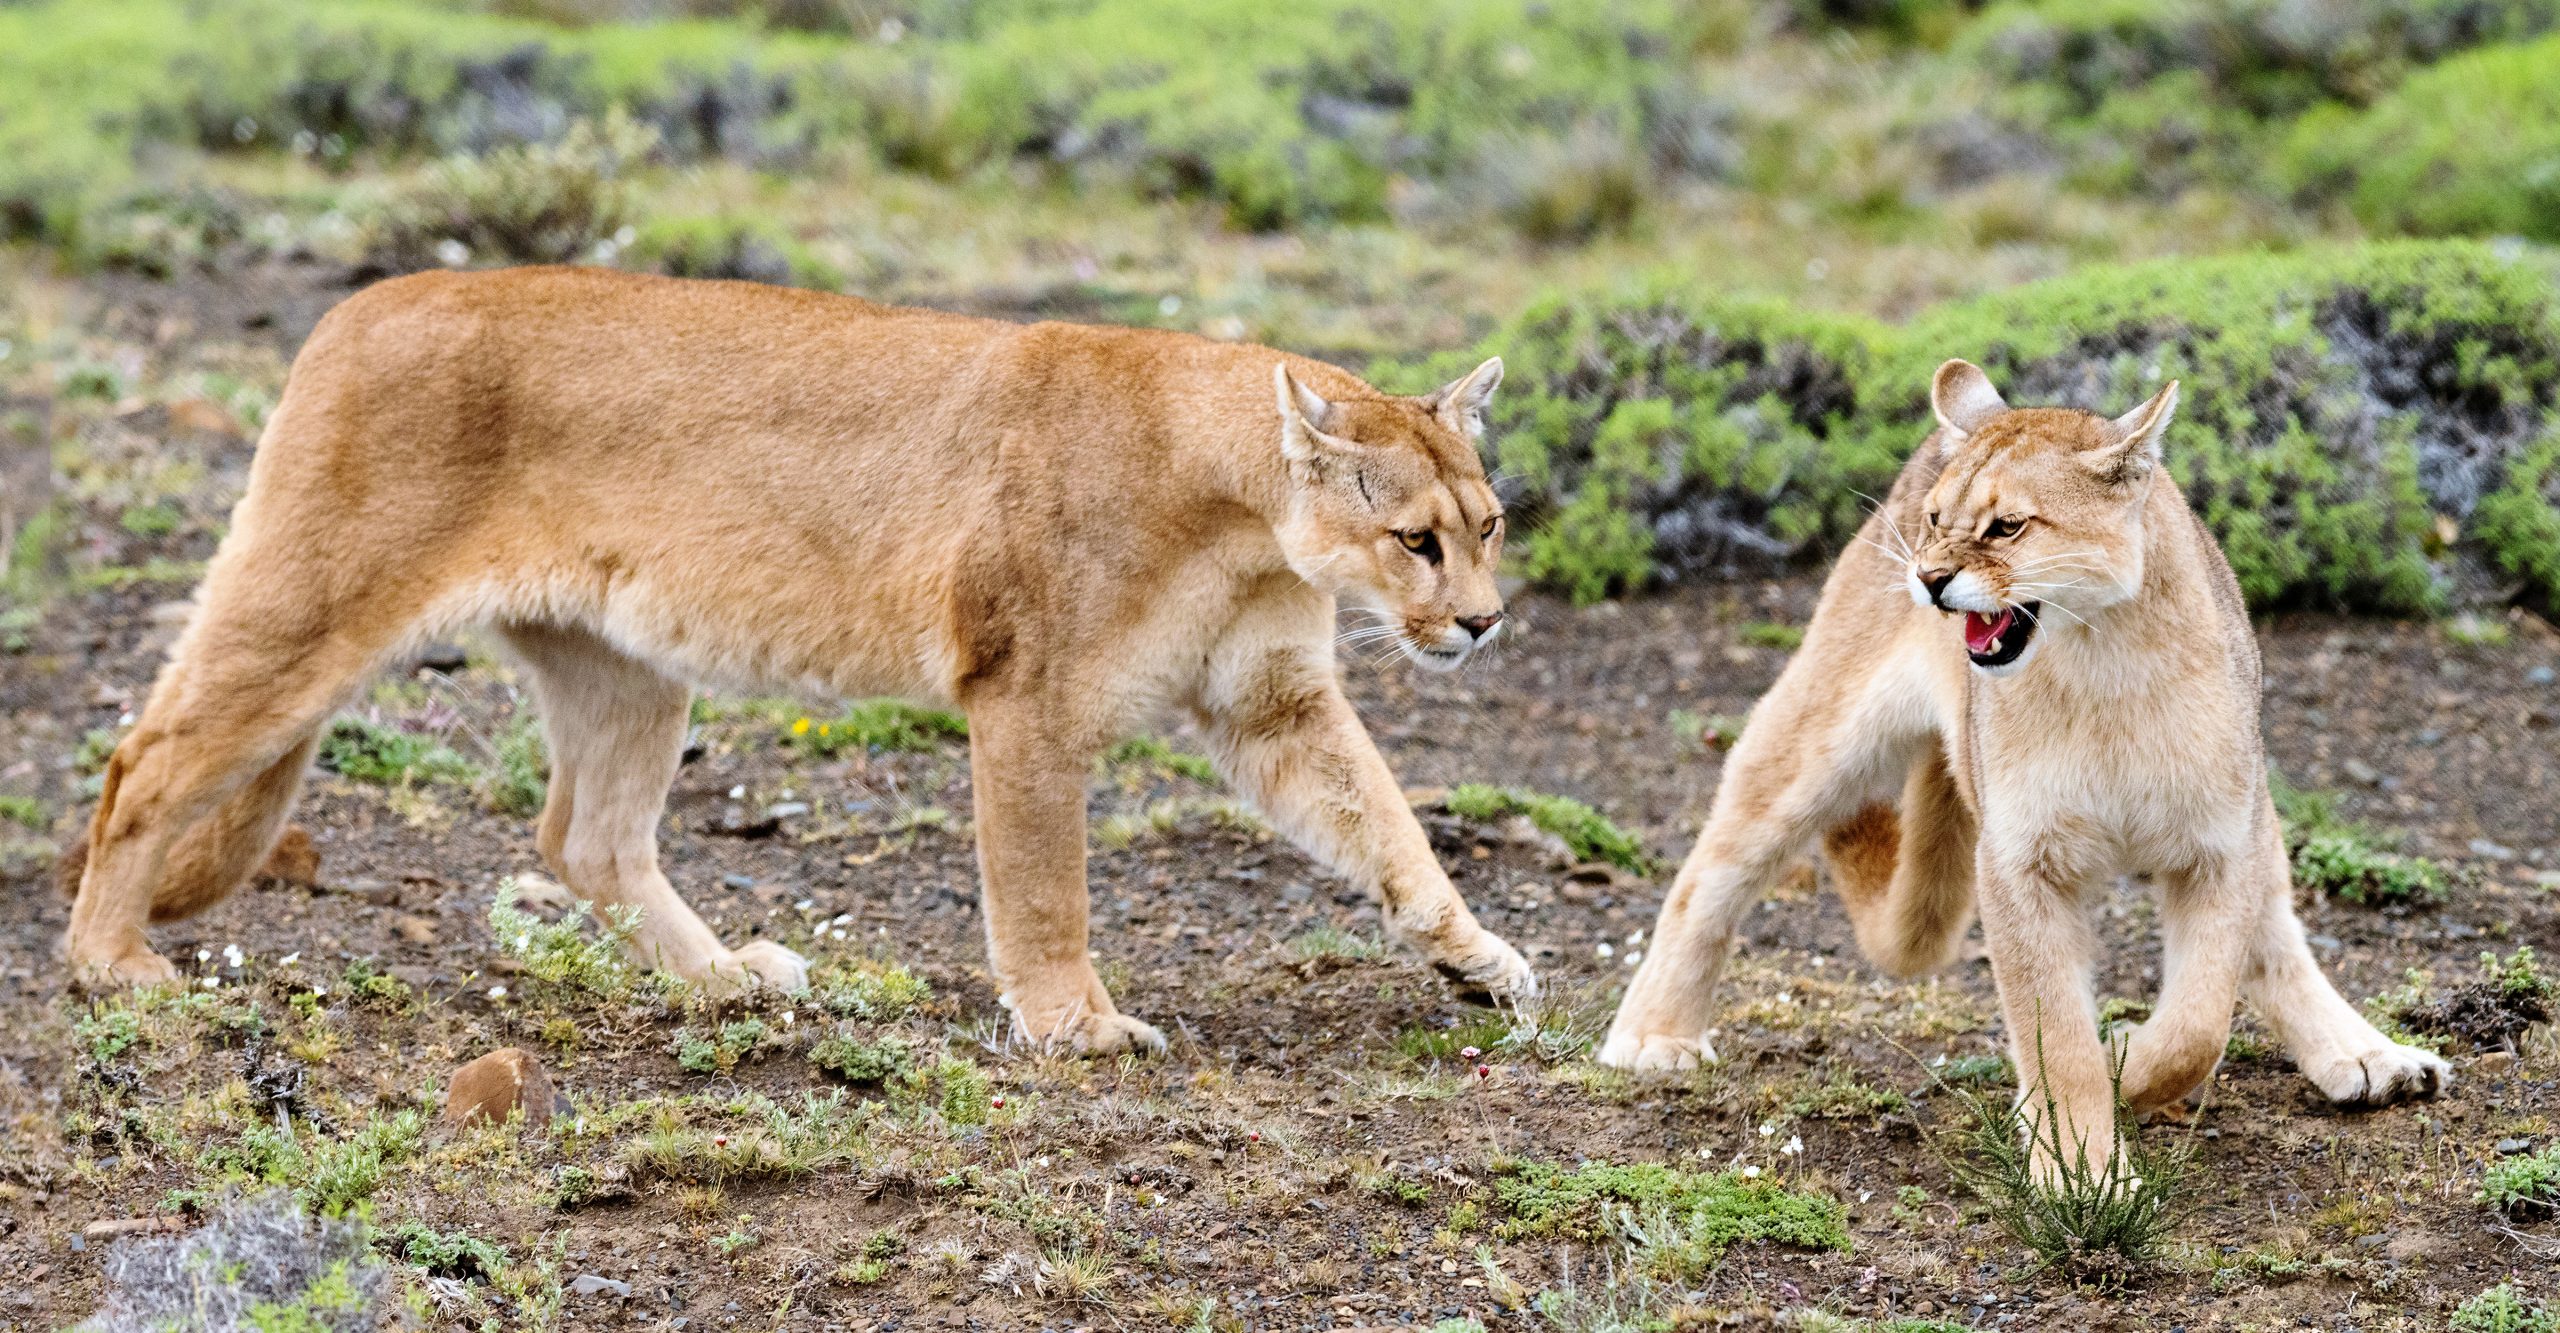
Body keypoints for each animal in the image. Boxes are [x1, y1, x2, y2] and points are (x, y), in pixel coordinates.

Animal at [59, 266, 1535, 1053]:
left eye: (1490, 526)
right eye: (1413, 540)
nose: (1481, 623)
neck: (1241, 511)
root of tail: (354, 303)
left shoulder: (1270, 702)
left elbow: (1388, 826)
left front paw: (1478, 957)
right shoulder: (1026, 701)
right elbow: (1044, 886)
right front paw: (1075, 1026)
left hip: (623, 661)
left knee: (587, 837)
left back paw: (724, 980)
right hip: (315, 609)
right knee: (145, 760)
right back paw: (107, 965)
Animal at [1599, 359, 2448, 1172]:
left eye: (2007, 526)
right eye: (1936, 519)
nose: (1928, 578)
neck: (2107, 668)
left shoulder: (2218, 848)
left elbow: (2198, 1022)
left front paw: (2123, 1062)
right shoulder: (2018, 860)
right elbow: (2057, 1031)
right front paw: (2080, 1166)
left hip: (2258, 809)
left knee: (2274, 937)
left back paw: (2368, 1054)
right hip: (1818, 739)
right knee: (1709, 873)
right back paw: (1653, 1036)